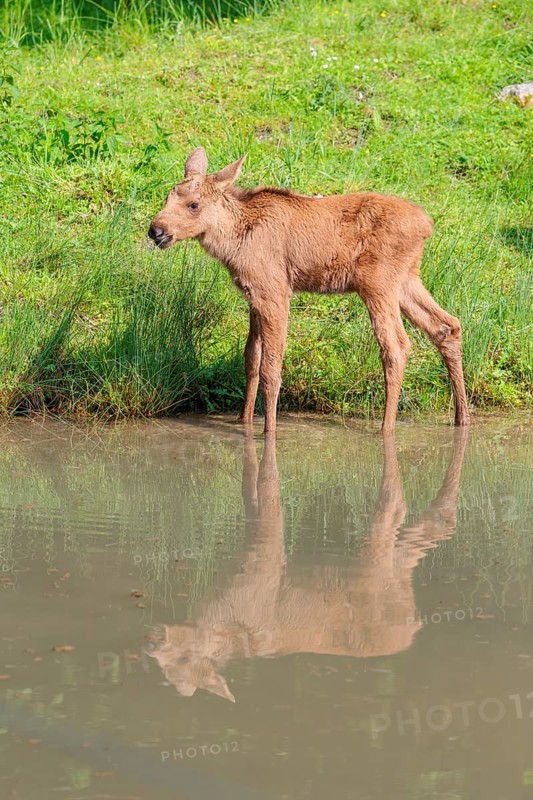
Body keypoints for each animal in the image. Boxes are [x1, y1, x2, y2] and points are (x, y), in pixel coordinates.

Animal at [147, 428, 469, 702]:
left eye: (186, 659)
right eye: (167, 673)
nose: (154, 646)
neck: (220, 608)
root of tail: (413, 623)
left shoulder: (265, 561)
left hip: (375, 567)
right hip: (395, 569)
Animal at [148, 147, 470, 435]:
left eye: (194, 205)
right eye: (168, 196)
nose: (156, 230)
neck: (233, 243)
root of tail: (427, 225)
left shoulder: (275, 291)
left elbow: (271, 369)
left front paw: (268, 430)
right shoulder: (253, 295)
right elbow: (251, 358)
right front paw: (244, 421)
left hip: (378, 283)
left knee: (397, 346)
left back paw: (386, 428)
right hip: (407, 280)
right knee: (447, 326)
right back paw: (462, 418)